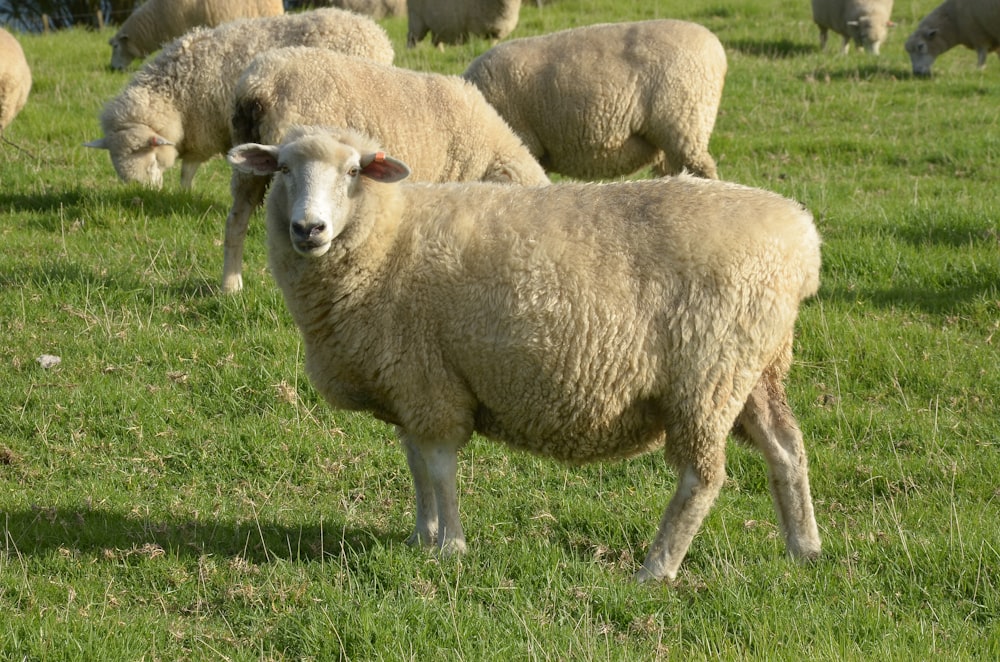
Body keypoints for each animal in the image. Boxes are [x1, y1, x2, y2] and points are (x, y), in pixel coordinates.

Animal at [86, 10, 392, 192]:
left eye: (148, 160)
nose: (144, 193)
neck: (173, 93)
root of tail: (376, 34)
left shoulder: (205, 127)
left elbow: (189, 167)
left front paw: (183, 193)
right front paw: (182, 194)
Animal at [230, 127, 824, 584]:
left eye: (354, 170)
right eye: (283, 168)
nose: (309, 228)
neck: (388, 240)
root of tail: (802, 237)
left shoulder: (431, 383)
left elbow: (439, 467)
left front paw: (450, 547)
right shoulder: (409, 381)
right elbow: (416, 466)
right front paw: (421, 536)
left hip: (707, 373)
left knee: (702, 477)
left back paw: (656, 569)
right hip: (755, 367)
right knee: (786, 449)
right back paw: (804, 548)